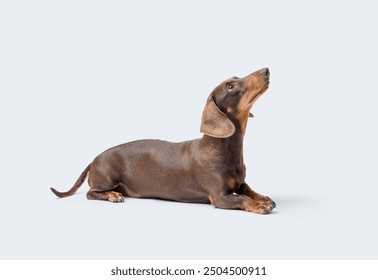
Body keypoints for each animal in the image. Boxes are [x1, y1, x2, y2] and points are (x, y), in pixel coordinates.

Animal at [51, 68, 274, 214]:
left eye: (235, 79)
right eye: (230, 86)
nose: (266, 70)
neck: (226, 149)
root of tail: (93, 159)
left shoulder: (240, 184)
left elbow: (248, 190)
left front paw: (263, 198)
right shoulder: (220, 196)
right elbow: (242, 198)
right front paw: (259, 205)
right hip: (106, 178)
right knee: (91, 193)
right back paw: (111, 195)